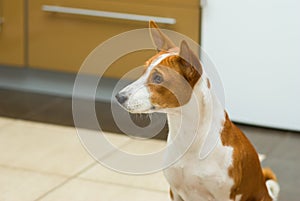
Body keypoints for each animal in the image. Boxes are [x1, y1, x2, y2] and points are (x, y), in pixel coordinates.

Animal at [116, 20, 280, 201]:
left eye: (158, 78)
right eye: (143, 72)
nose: (119, 96)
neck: (189, 138)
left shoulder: (224, 196)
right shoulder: (175, 192)